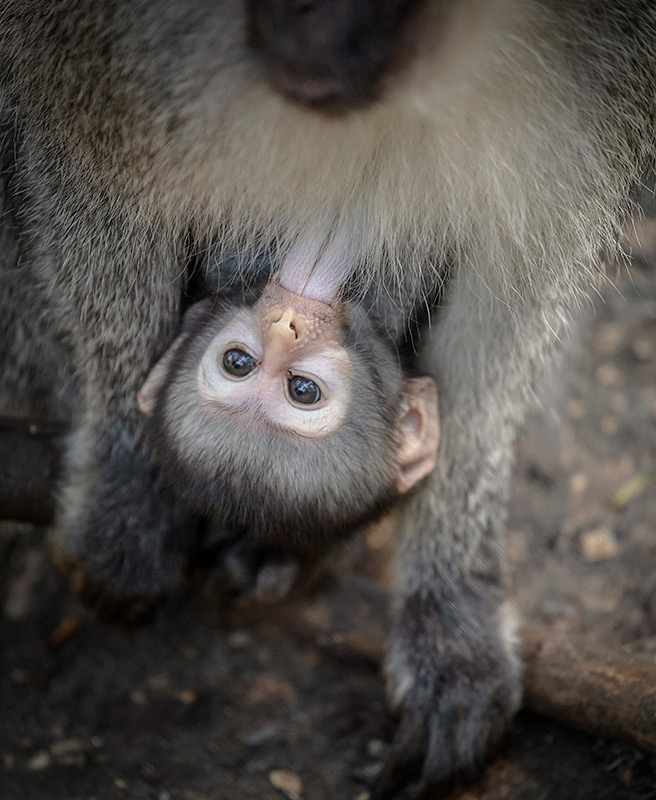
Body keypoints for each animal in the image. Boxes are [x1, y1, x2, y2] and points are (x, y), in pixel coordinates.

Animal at [1, 1, 654, 793]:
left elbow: (519, 262)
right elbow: (85, 158)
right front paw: (128, 486)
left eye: (302, 389)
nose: (288, 318)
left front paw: (453, 603)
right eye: (240, 362)